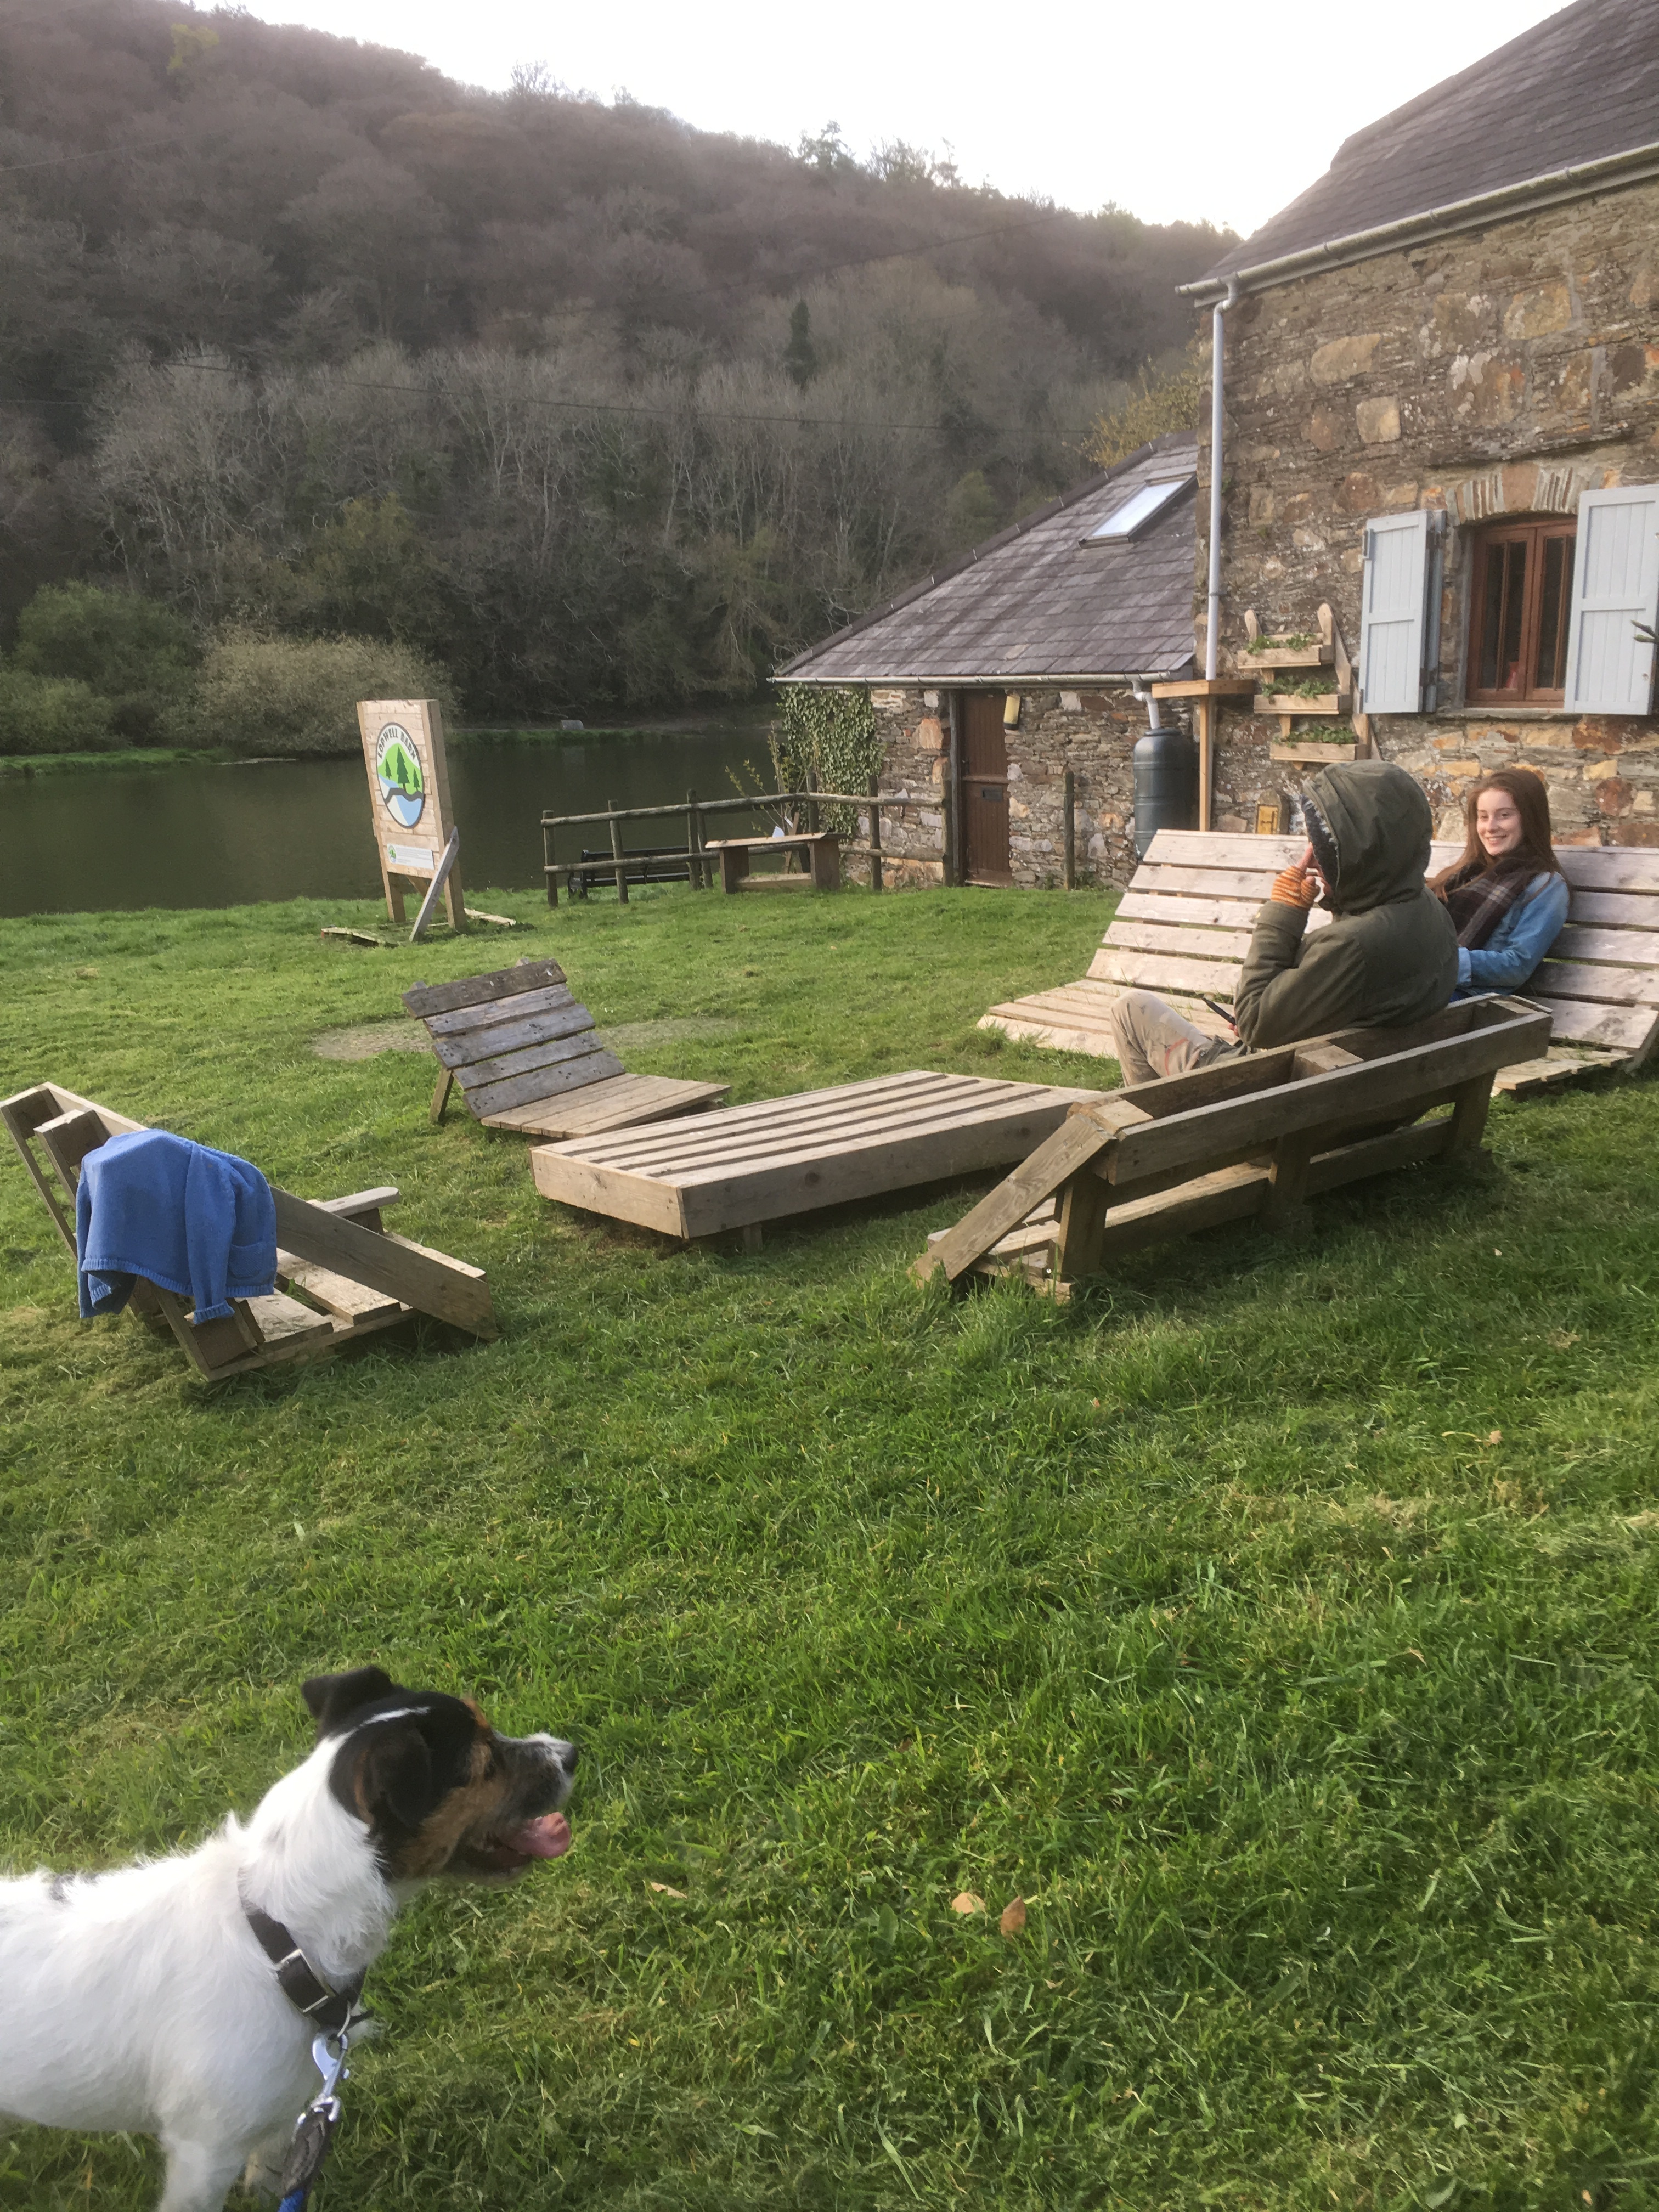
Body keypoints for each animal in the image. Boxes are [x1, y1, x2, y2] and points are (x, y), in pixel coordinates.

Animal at [0, 1666, 576, 2212]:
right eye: (486, 1763)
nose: (571, 1754)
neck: (277, 1939)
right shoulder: (203, 2154)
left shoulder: (292, 2098)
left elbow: (279, 2166)